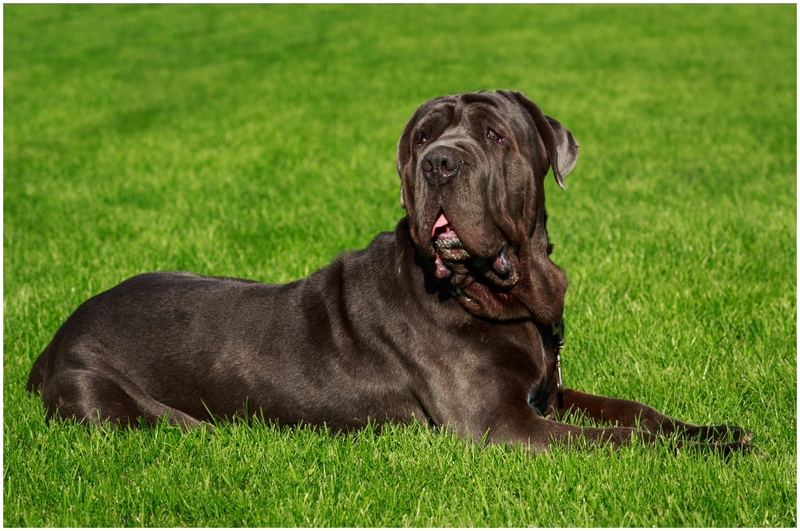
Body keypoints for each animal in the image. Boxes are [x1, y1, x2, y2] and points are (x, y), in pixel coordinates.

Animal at [25, 90, 752, 454]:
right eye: (423, 137)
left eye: (495, 135)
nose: (440, 162)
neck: (501, 293)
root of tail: (53, 341)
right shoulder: (502, 423)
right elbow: (621, 440)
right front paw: (712, 452)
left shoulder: (546, 392)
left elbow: (635, 412)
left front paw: (715, 431)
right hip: (119, 405)